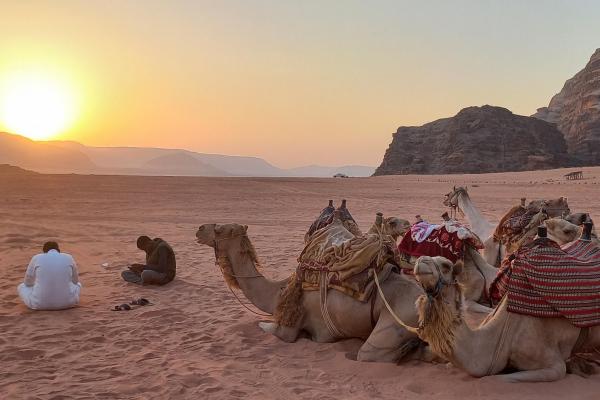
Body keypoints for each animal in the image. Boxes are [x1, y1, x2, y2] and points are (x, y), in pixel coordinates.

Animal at [196, 223, 426, 364]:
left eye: (220, 229)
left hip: (394, 324)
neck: (278, 291)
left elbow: (266, 327)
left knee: (370, 353)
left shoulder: (289, 328)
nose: (199, 229)